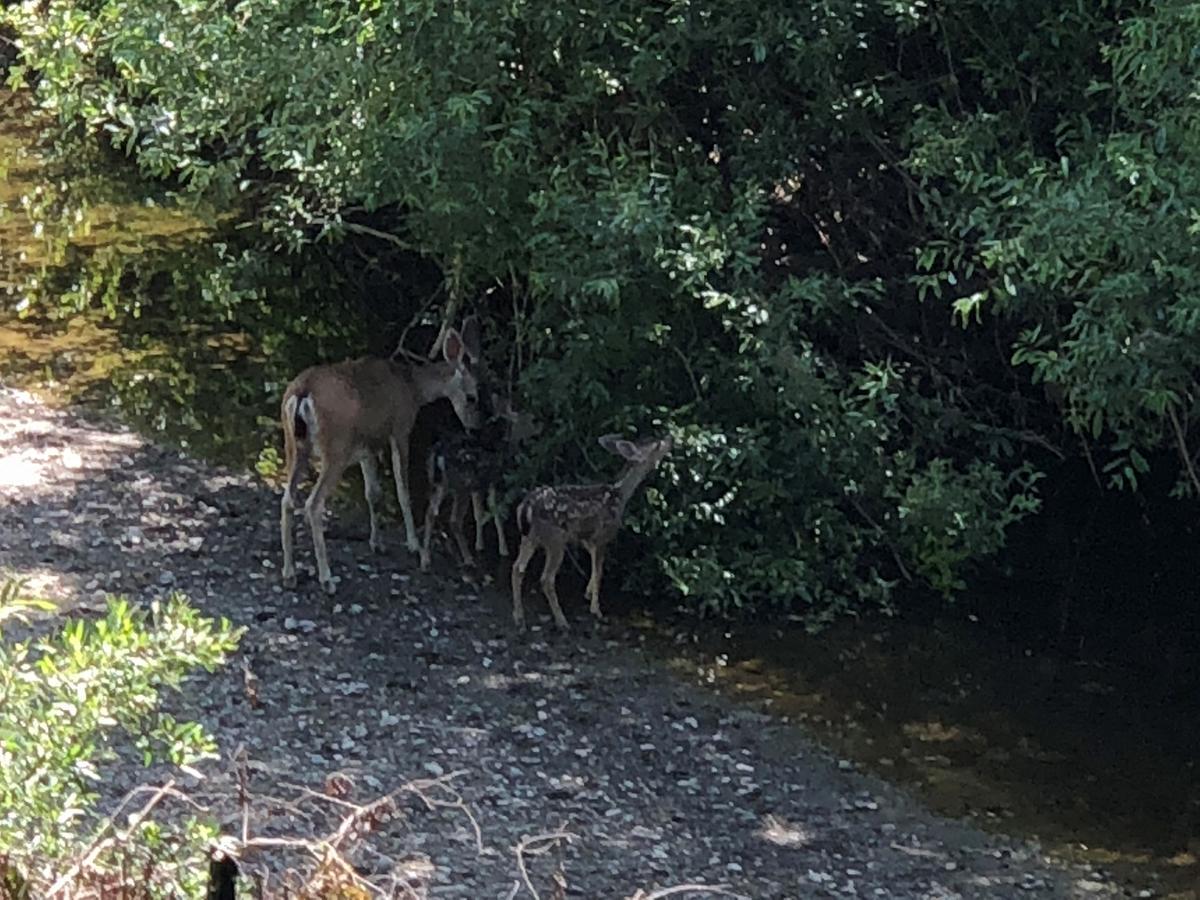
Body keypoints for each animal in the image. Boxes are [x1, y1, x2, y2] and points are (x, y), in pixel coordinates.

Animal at [278, 321, 480, 595]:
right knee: (313, 503)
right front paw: (413, 544)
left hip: (294, 445)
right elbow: (402, 489)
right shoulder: (400, 429)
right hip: (335, 449)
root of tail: (302, 392)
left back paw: (289, 574)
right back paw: (326, 579)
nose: (475, 427)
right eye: (472, 397)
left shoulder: (366, 446)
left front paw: (377, 543)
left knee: (288, 499)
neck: (412, 388)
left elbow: (372, 492)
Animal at [508, 434, 672, 628]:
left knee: (517, 568)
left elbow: (594, 566)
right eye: (657, 445)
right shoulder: (603, 535)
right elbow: (599, 571)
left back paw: (519, 616)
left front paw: (587, 593)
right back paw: (562, 621)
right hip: (555, 539)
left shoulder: (586, 537)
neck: (620, 494)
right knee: (546, 579)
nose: (670, 438)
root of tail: (526, 506)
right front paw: (596, 609)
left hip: (529, 537)